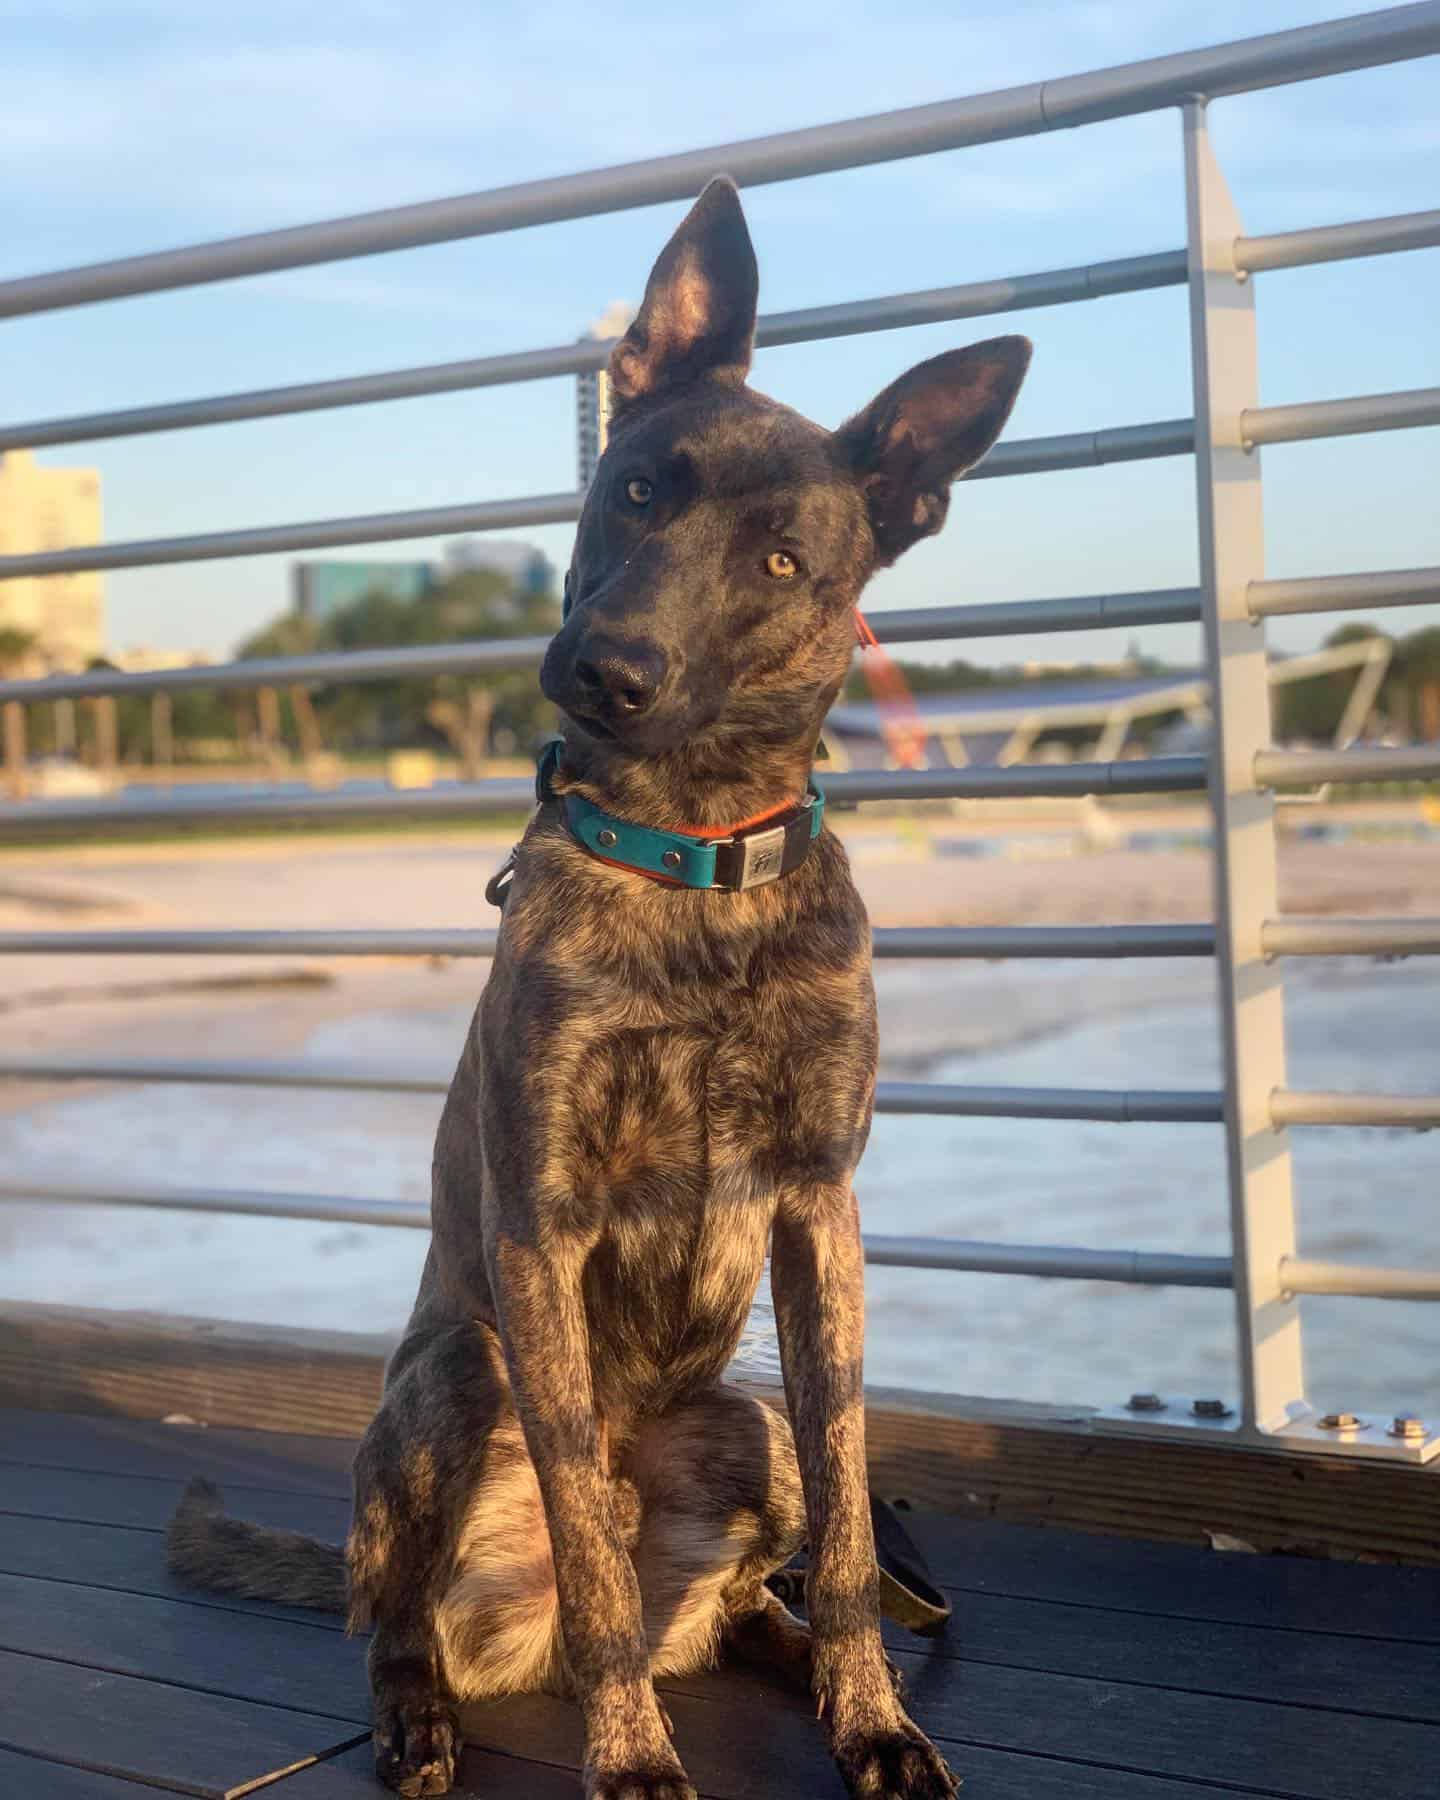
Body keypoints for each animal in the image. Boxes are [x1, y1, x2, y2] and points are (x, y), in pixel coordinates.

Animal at [169, 171, 1029, 1800]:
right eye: (635, 489)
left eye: (781, 562)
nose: (606, 670)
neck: (688, 865)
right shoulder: (541, 1228)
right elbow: (588, 1549)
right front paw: (631, 1759)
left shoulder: (820, 1215)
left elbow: (847, 1520)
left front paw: (874, 1721)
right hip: (449, 1380)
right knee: (412, 1618)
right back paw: (423, 1715)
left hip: (743, 1421)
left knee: (761, 1587)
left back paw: (788, 1651)